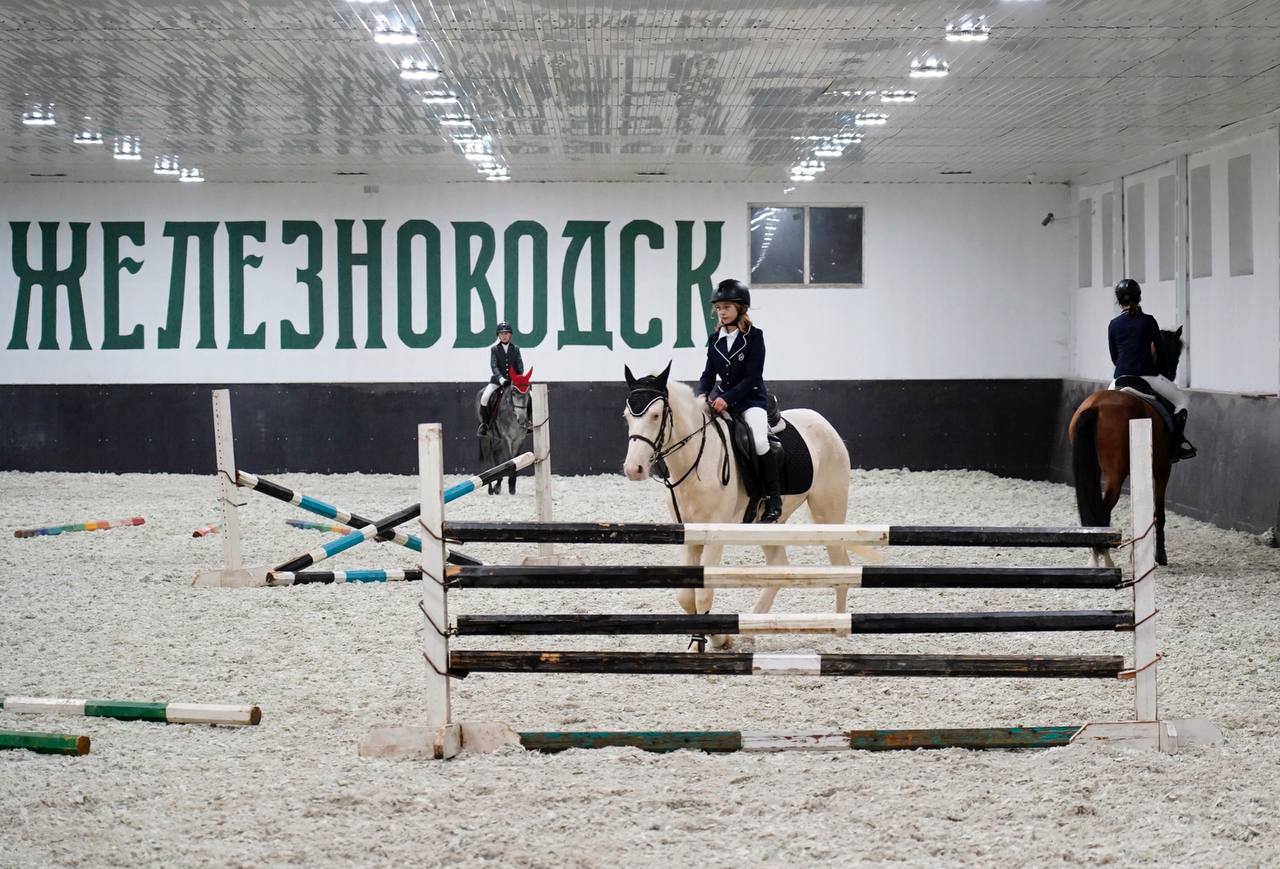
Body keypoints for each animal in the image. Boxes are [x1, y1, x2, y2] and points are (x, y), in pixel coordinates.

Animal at [622, 363, 855, 650]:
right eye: (627, 417)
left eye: (655, 415)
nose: (633, 469)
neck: (697, 461)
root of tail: (824, 423)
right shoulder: (689, 535)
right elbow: (686, 596)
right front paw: (709, 639)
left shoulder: (714, 536)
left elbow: (703, 594)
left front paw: (712, 639)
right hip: (769, 525)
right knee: (779, 566)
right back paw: (750, 629)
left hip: (828, 512)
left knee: (841, 563)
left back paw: (840, 626)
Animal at [1070, 330, 1177, 568]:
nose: (1172, 373)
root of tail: (1095, 406)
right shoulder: (1163, 468)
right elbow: (1159, 512)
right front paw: (1160, 556)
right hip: (1116, 474)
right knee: (1104, 509)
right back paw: (1106, 559)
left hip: (1096, 469)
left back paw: (1095, 558)